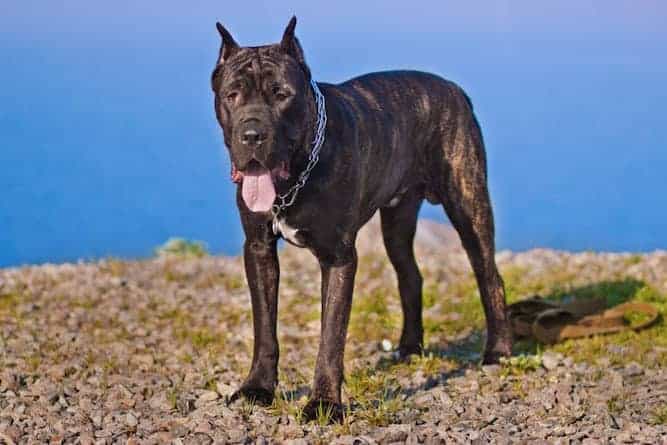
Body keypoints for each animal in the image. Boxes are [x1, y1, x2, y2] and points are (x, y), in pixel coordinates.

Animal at [211, 16, 516, 420]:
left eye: (281, 94)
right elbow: (265, 327)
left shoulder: (338, 258)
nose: (252, 134)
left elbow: (331, 335)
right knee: (410, 275)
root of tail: (455, 90)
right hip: (397, 221)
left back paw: (498, 350)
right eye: (232, 95)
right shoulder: (259, 249)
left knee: (490, 276)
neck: (296, 177)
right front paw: (257, 387)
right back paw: (410, 347)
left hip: (469, 205)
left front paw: (324, 403)